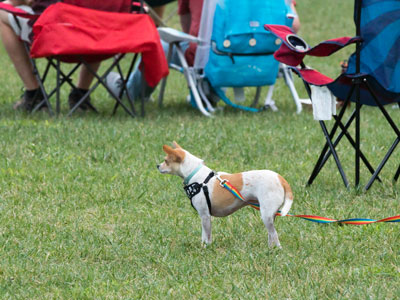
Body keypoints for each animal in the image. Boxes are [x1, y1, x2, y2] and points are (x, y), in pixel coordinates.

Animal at [157, 142, 294, 247]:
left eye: (165, 161)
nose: (157, 165)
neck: (195, 175)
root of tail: (280, 178)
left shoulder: (205, 215)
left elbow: (207, 235)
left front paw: (206, 248)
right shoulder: (204, 217)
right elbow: (204, 235)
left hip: (266, 215)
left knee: (274, 235)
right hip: (269, 215)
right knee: (271, 235)